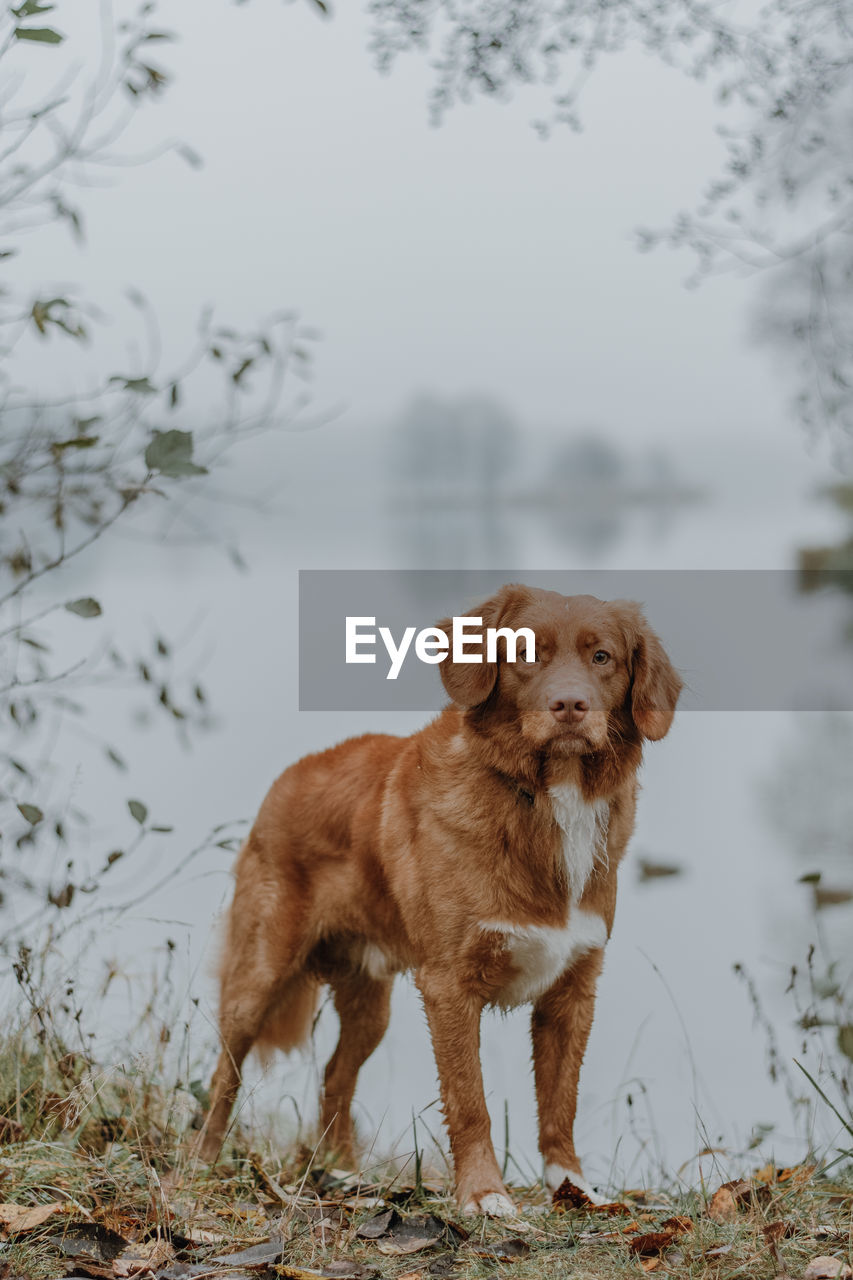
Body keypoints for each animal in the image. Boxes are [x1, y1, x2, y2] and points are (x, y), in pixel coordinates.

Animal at [197, 586, 676, 1208]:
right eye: (526, 652)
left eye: (602, 658)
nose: (571, 705)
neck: (543, 799)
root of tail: (292, 775)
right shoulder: (450, 985)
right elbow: (469, 1101)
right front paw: (484, 1195)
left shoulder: (573, 988)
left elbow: (560, 1101)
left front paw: (572, 1185)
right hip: (260, 975)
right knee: (224, 1073)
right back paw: (202, 1162)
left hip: (370, 1004)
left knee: (335, 1075)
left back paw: (343, 1171)